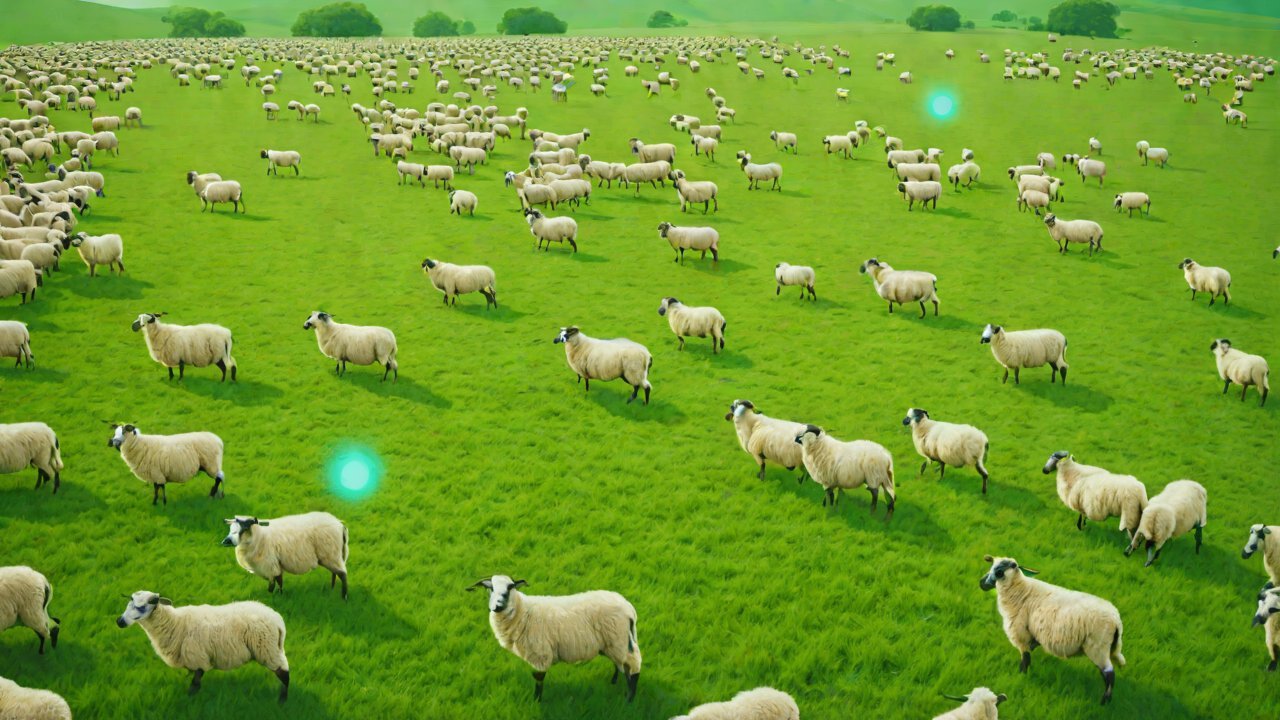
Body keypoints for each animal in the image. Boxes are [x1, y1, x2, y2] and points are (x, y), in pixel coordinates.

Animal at [116, 591, 289, 702]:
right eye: (128, 604)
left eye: (141, 607)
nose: (119, 621)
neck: (174, 623)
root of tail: (278, 620)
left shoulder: (197, 657)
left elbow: (196, 683)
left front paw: (189, 699)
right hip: (272, 648)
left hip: (267, 648)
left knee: (284, 673)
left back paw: (282, 701)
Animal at [467, 575, 641, 702]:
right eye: (490, 588)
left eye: (510, 587)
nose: (496, 606)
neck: (522, 612)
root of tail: (629, 609)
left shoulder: (540, 653)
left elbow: (538, 679)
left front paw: (536, 701)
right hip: (612, 643)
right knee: (620, 663)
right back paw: (614, 682)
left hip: (618, 638)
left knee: (632, 665)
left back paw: (629, 699)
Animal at [979, 556, 1124, 705]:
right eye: (992, 566)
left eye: (999, 572)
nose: (981, 583)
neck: (1020, 589)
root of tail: (1116, 621)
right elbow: (1031, 648)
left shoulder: (1020, 633)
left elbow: (1025, 657)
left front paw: (1022, 674)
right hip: (1106, 647)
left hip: (1098, 647)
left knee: (1109, 674)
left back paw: (1105, 701)